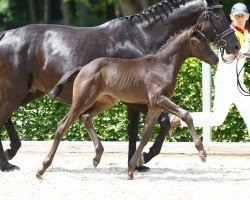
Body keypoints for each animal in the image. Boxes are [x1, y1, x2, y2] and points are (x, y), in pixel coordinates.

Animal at [37, 28, 219, 180]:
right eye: (200, 42)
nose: (216, 59)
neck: (163, 65)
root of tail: (82, 68)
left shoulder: (154, 106)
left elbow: (145, 135)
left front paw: (132, 168)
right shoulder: (158, 99)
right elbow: (186, 115)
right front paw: (202, 153)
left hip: (106, 101)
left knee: (86, 117)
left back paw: (97, 156)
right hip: (82, 100)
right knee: (63, 125)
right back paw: (42, 168)